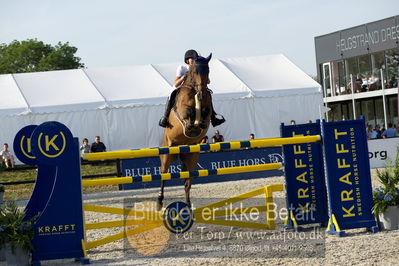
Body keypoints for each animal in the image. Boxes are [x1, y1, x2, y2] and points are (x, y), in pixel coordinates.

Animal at [156, 53, 214, 210]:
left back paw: (188, 205)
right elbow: (188, 112)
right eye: (195, 71)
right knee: (163, 176)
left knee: (187, 182)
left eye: (208, 71)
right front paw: (190, 126)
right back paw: (159, 202)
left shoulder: (207, 109)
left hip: (191, 158)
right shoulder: (182, 111)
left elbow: (206, 113)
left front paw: (199, 124)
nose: (202, 93)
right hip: (167, 155)